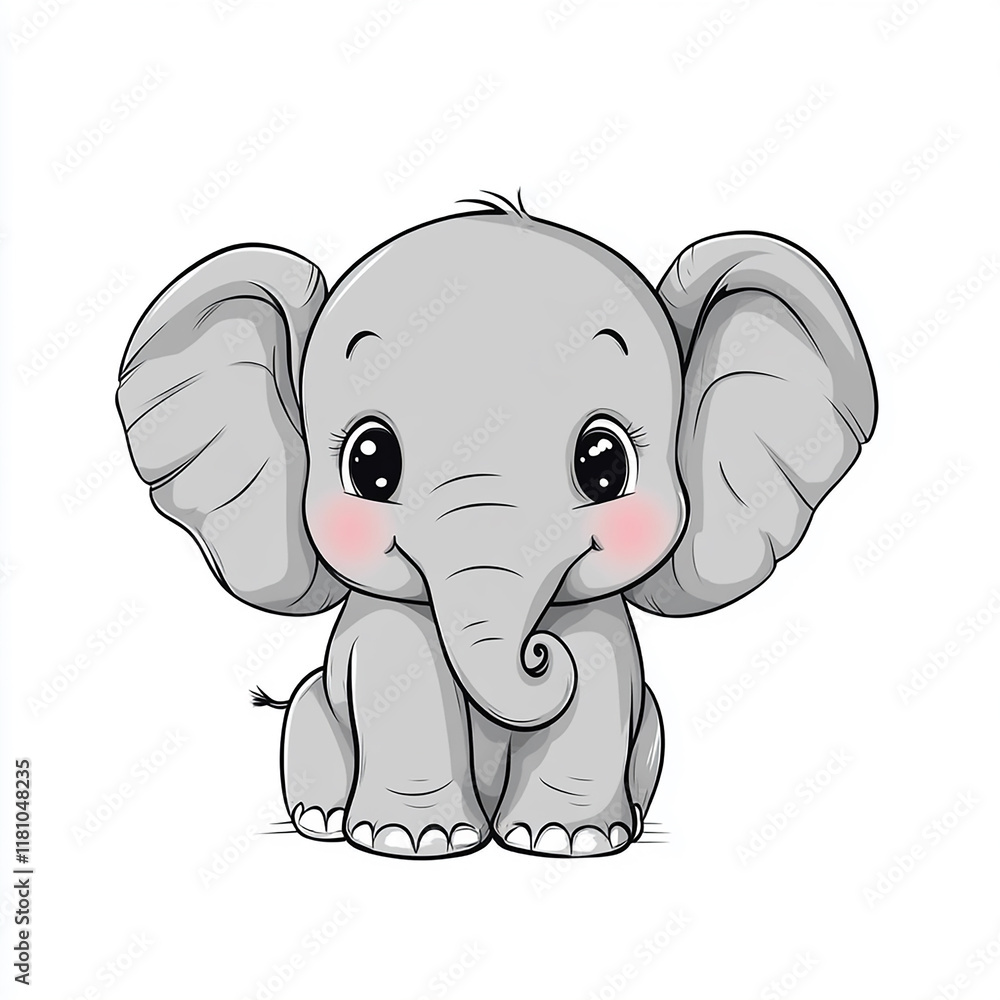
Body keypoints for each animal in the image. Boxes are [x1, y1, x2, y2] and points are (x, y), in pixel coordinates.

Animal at [116, 194, 876, 859]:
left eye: (604, 463)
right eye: (370, 462)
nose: (538, 652)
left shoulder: (601, 635)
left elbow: (596, 682)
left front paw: (565, 843)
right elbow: (405, 677)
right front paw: (411, 843)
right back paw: (323, 821)